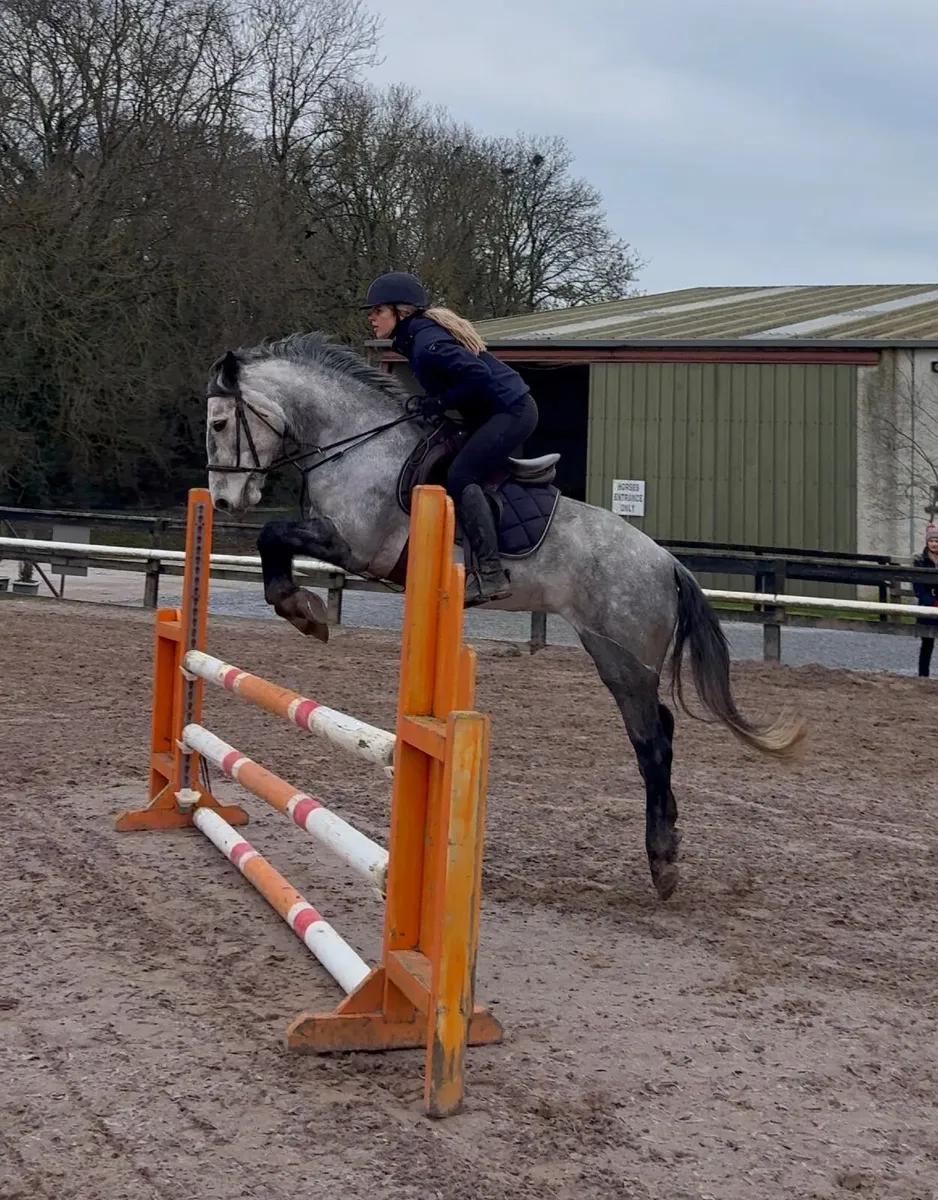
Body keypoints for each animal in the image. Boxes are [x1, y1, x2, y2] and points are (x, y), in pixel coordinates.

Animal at [204, 331, 806, 901]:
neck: (355, 445)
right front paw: (301, 608)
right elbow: (273, 541)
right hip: (611, 650)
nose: (225, 502)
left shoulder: (355, 546)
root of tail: (667, 563)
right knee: (661, 730)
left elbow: (271, 535)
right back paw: (668, 844)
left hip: (623, 658)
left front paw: (302, 608)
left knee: (651, 741)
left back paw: (662, 862)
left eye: (218, 422)